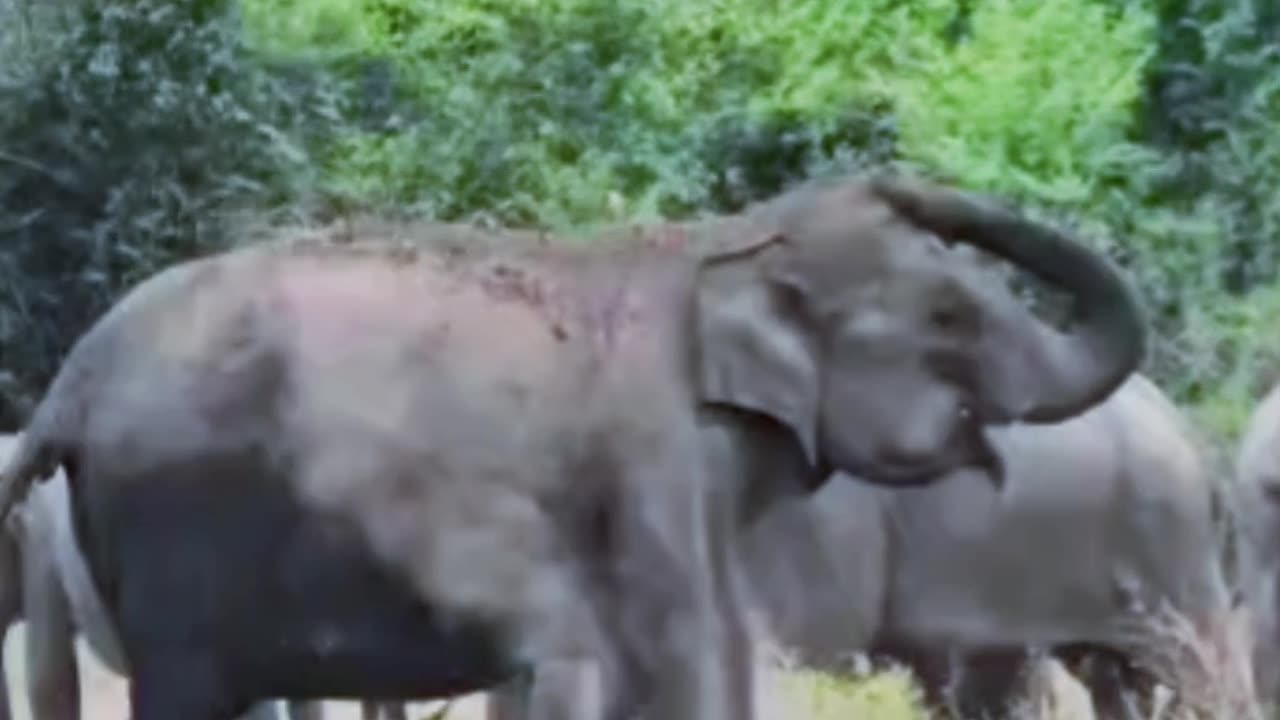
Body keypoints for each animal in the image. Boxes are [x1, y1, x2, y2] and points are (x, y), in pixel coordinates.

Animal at [0, 172, 1145, 720]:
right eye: (949, 318)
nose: (885, 175)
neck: (714, 251)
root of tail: (73, 375)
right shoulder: (646, 457)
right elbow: (681, 654)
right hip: (176, 529)